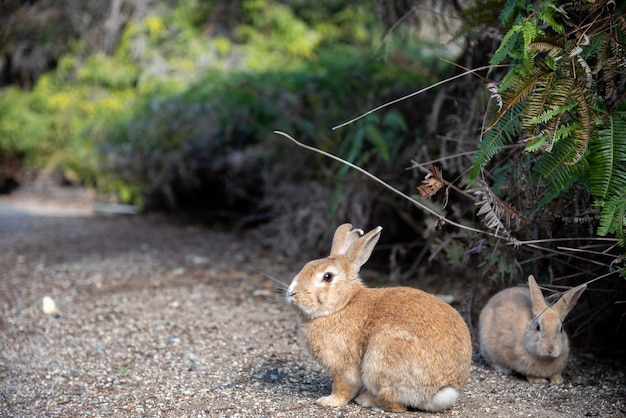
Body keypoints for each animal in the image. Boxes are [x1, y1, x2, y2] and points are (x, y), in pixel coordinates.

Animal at [282, 224, 468, 414]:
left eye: (328, 277)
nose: (292, 293)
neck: (343, 304)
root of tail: (442, 390)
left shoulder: (344, 368)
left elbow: (343, 388)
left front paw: (328, 401)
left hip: (380, 358)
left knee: (397, 405)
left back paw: (366, 400)